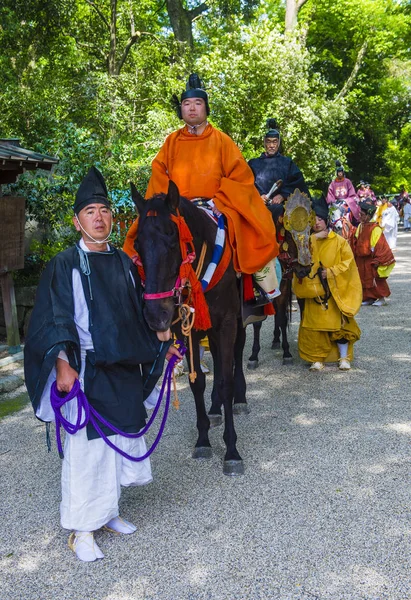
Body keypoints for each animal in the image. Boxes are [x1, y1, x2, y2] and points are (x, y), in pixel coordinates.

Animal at [132, 180, 248, 476]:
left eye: (173, 240)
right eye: (137, 244)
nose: (155, 314)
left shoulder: (227, 321)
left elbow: (227, 379)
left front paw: (232, 450)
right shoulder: (188, 327)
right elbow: (199, 383)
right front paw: (203, 439)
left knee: (237, 353)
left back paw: (240, 400)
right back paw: (216, 408)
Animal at [248, 204, 312, 368]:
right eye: (289, 237)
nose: (305, 269)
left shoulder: (282, 289)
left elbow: (283, 319)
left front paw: (287, 353)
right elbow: (257, 323)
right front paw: (253, 355)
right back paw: (276, 339)